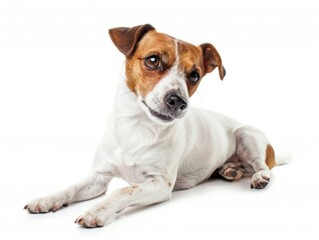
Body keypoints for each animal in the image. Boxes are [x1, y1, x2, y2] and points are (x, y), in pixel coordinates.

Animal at [24, 24, 288, 229]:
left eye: (194, 75)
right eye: (153, 60)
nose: (178, 101)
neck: (135, 127)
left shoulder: (159, 184)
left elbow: (123, 191)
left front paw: (97, 211)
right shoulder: (99, 177)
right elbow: (72, 187)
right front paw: (46, 199)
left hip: (248, 135)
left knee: (262, 165)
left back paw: (259, 177)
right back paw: (229, 170)